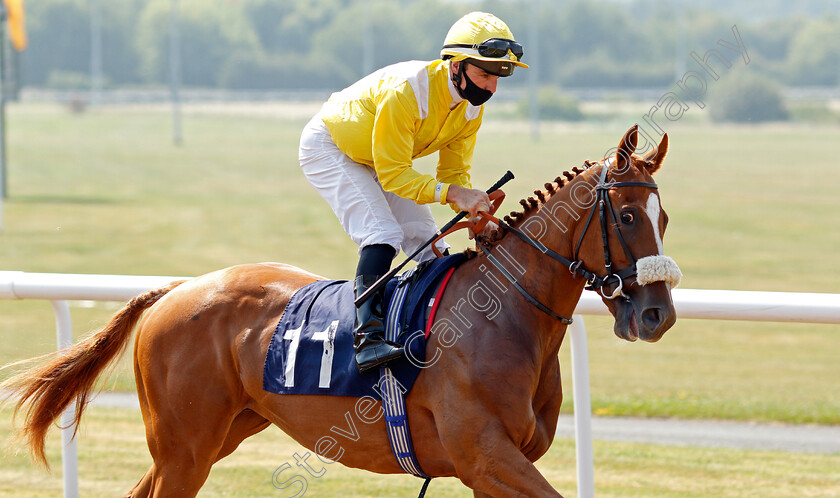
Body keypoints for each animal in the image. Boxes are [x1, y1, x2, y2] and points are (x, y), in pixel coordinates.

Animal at [1, 126, 676, 496]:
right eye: (626, 216)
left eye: (664, 217)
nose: (657, 315)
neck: (503, 316)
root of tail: (178, 289)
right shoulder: (487, 457)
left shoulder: (495, 468)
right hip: (184, 447)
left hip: (220, 434)